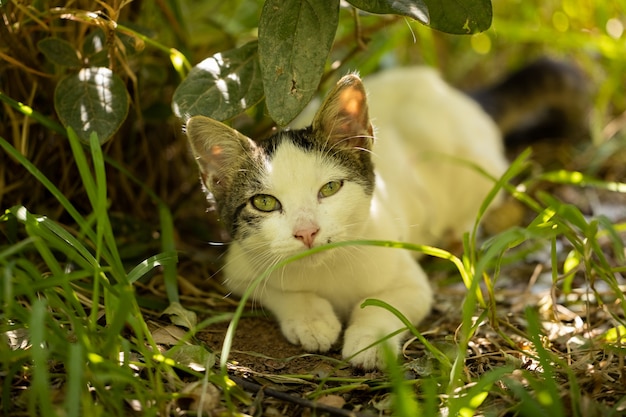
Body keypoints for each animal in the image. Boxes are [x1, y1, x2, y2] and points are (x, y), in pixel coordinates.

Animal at [184, 57, 584, 368]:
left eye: (330, 188)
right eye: (265, 203)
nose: (307, 232)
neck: (328, 270)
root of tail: (445, 89)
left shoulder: (412, 281)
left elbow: (385, 305)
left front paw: (369, 340)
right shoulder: (238, 268)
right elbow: (272, 287)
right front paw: (311, 318)